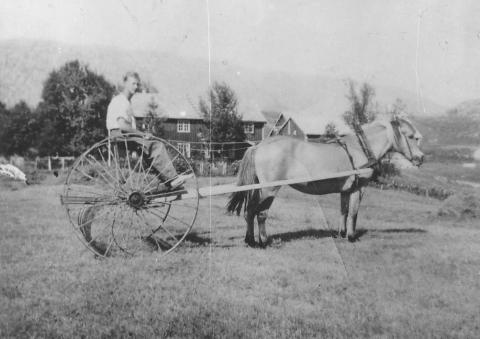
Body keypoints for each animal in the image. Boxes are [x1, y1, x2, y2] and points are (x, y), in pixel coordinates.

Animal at [227, 117, 426, 244]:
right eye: (411, 137)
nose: (421, 158)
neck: (359, 148)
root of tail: (260, 146)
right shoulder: (358, 188)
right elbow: (353, 213)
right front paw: (351, 237)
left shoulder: (345, 190)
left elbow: (343, 212)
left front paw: (341, 234)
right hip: (270, 190)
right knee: (258, 212)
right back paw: (260, 241)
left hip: (262, 189)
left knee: (251, 212)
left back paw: (252, 240)